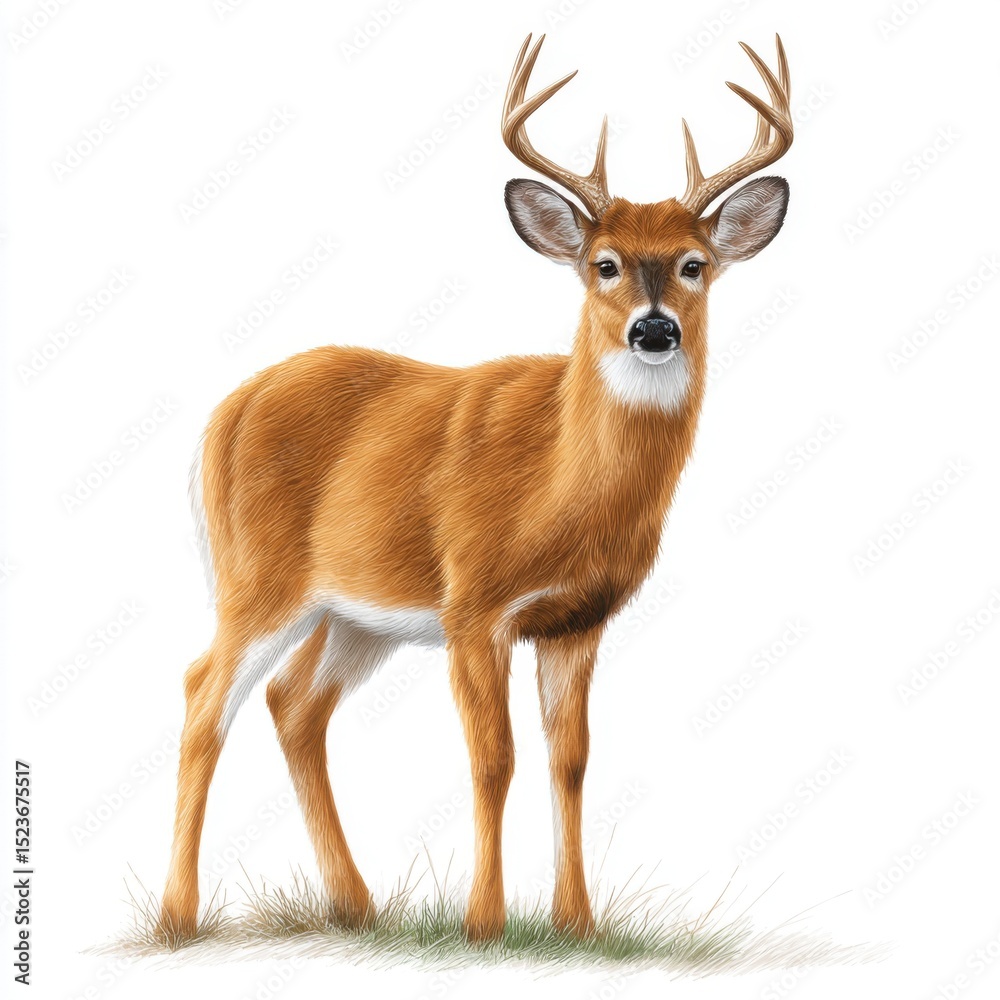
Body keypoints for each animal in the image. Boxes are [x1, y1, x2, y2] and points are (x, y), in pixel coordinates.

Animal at [160, 32, 793, 943]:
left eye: (694, 265)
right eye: (603, 265)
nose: (654, 329)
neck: (561, 488)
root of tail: (227, 411)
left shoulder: (577, 620)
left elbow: (570, 760)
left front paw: (577, 924)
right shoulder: (473, 604)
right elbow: (494, 758)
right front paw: (484, 923)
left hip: (356, 612)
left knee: (293, 703)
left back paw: (354, 905)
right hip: (259, 576)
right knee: (204, 695)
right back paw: (178, 916)